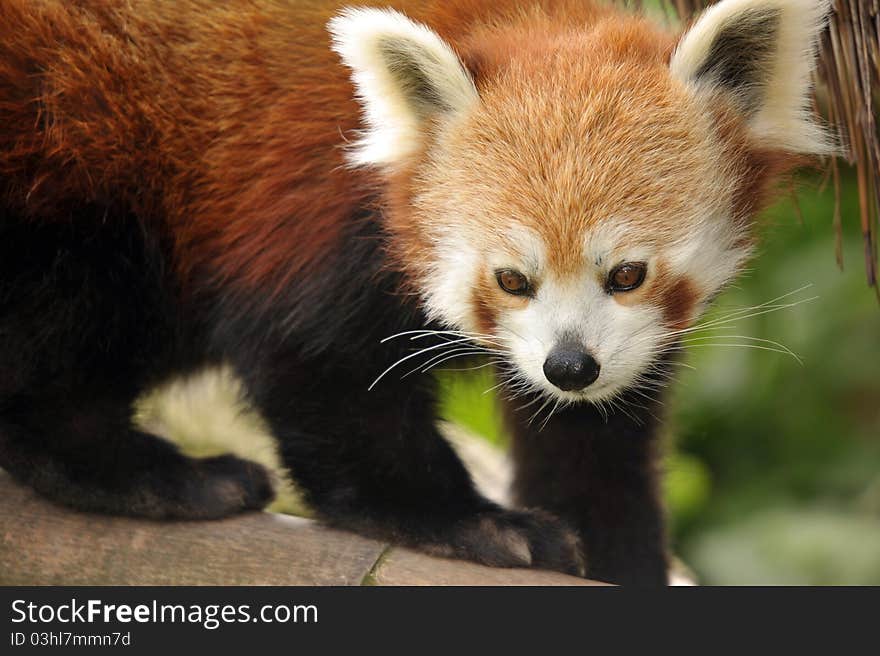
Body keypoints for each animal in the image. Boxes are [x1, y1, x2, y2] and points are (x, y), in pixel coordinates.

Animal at [0, 0, 832, 584]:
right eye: (511, 279)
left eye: (627, 274)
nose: (569, 367)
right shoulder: (313, 215)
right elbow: (321, 375)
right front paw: (470, 522)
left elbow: (596, 442)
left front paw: (617, 554)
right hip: (75, 158)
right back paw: (155, 475)